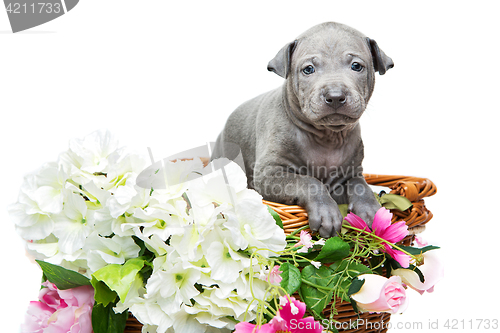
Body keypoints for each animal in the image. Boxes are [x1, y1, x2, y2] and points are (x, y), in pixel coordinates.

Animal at [209, 22, 392, 237]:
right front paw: (326, 212)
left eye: (356, 66)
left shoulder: (350, 174)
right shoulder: (268, 174)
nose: (335, 96)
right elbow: (308, 181)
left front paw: (371, 209)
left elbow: (360, 185)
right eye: (308, 69)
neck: (327, 137)